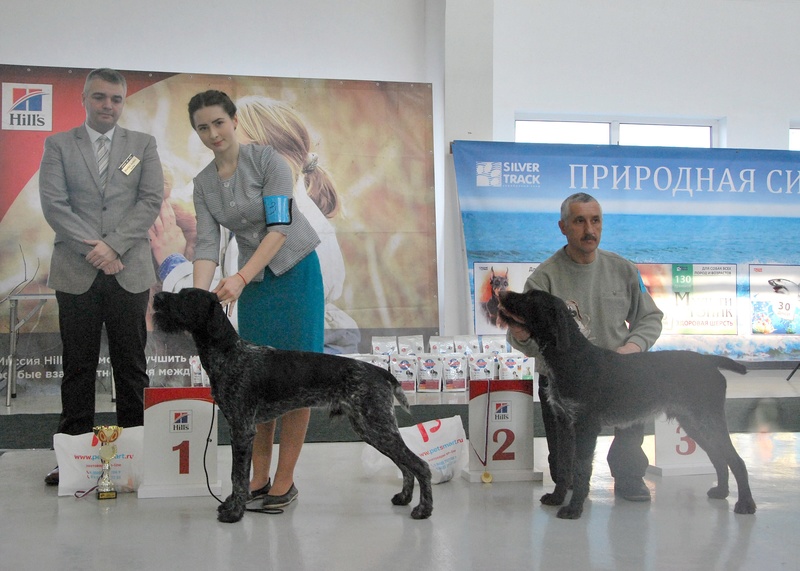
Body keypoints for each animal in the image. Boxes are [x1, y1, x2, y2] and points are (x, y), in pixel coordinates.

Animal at [153, 288, 434, 524]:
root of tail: (380, 371)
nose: (157, 297)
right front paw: (232, 505)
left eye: (187, 297)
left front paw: (235, 512)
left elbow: (238, 476)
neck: (230, 353)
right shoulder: (238, 428)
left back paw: (423, 510)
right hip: (371, 429)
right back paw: (404, 498)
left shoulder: (242, 429)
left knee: (420, 465)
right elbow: (238, 476)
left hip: (377, 427)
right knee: (406, 465)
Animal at [500, 290, 756, 520]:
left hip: (709, 420)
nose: (502, 293)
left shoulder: (585, 427)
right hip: (693, 424)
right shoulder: (564, 424)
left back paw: (746, 504)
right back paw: (722, 491)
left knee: (736, 460)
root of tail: (708, 361)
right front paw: (557, 497)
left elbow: (581, 469)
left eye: (531, 298)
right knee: (719, 457)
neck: (571, 357)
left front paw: (574, 508)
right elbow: (564, 466)